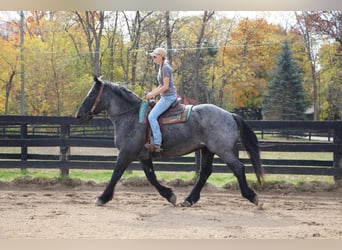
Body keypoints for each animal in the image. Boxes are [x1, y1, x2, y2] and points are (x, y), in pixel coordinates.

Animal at [76, 75, 264, 207]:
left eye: (92, 94)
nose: (79, 115)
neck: (132, 117)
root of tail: (230, 115)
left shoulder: (126, 153)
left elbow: (116, 174)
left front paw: (102, 198)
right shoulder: (143, 155)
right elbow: (151, 177)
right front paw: (170, 195)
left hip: (223, 151)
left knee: (238, 168)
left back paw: (252, 196)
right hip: (207, 150)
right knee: (205, 172)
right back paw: (189, 199)